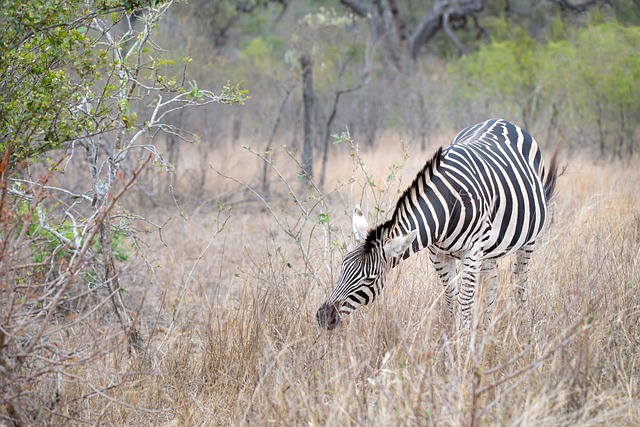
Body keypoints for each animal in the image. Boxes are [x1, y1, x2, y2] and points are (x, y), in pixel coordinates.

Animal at [318, 119, 556, 332]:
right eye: (343, 266)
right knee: (492, 287)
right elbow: (452, 301)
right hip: (489, 250)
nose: (324, 317)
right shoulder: (438, 256)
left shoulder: (472, 252)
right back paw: (487, 331)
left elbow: (466, 303)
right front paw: (451, 339)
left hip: (528, 239)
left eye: (370, 279)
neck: (447, 206)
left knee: (520, 280)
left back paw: (522, 326)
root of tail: (502, 120)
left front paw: (462, 346)